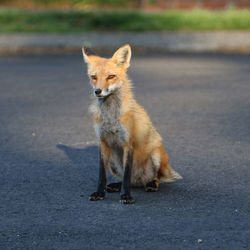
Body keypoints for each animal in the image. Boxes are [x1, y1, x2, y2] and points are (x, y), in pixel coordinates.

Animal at [82, 44, 182, 203]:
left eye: (110, 76)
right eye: (93, 77)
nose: (98, 91)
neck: (111, 117)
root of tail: (140, 180)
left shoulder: (128, 143)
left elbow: (127, 174)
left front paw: (126, 196)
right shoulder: (103, 142)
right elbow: (102, 175)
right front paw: (99, 193)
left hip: (156, 154)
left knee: (154, 178)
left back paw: (151, 184)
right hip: (113, 161)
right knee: (128, 180)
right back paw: (116, 185)